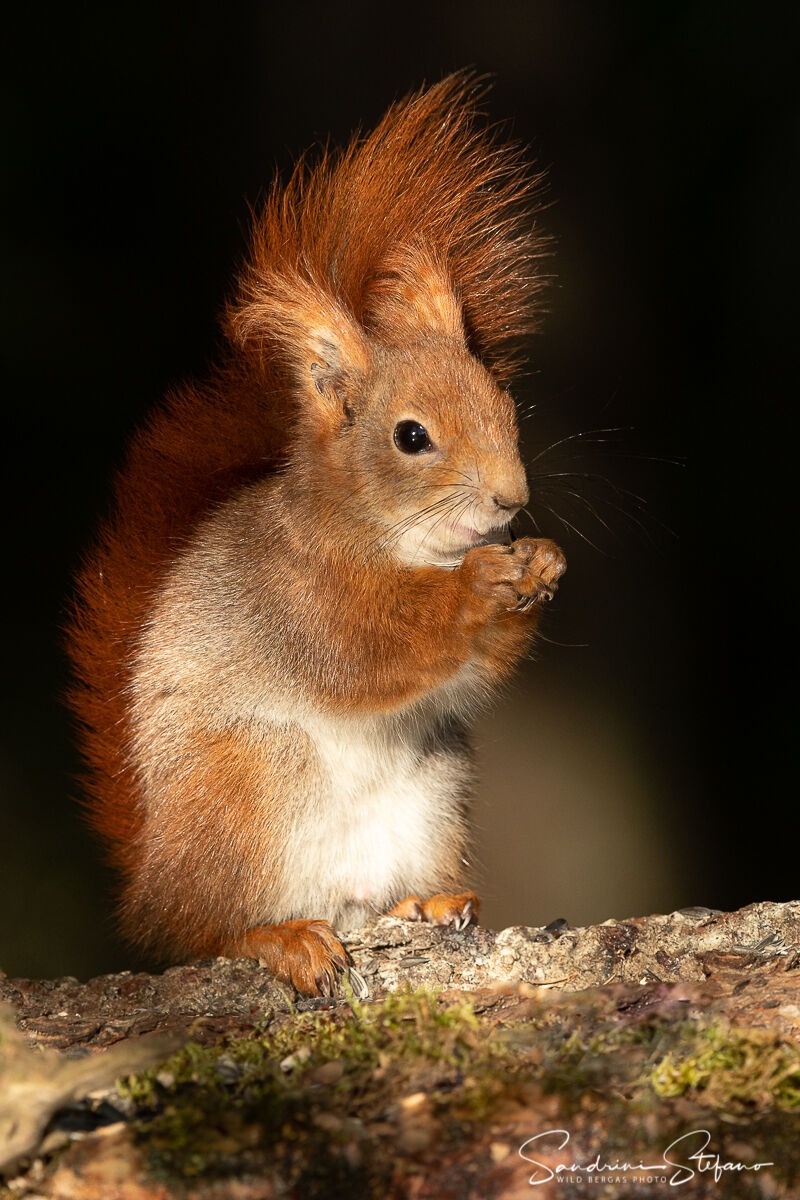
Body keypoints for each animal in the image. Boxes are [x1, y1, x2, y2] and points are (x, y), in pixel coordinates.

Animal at [66, 75, 566, 996]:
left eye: (506, 407)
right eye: (411, 436)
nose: (511, 499)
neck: (401, 547)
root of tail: (151, 878)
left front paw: (540, 562)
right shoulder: (293, 596)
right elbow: (367, 647)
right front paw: (477, 586)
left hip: (433, 794)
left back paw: (429, 902)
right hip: (252, 783)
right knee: (209, 927)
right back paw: (279, 938)